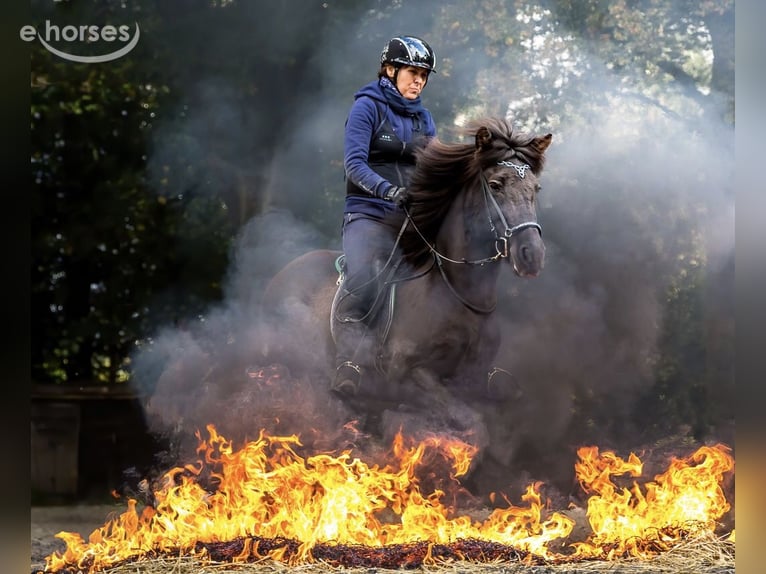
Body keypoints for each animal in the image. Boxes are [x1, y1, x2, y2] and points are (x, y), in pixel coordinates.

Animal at [260, 117, 552, 452]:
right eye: (495, 185)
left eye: (535, 189)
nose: (531, 255)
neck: (458, 294)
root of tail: (281, 275)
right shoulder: (406, 375)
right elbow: (463, 415)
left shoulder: (473, 376)